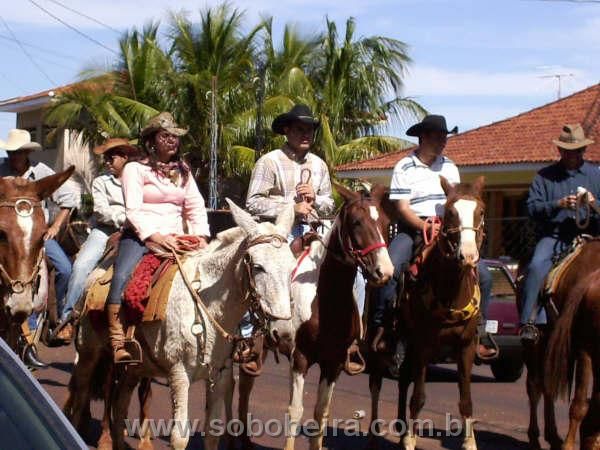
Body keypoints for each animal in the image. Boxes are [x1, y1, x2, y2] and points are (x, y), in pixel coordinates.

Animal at [66, 200, 296, 450]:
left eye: (291, 268)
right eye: (257, 266)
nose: (283, 333)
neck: (206, 303)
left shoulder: (220, 375)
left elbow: (212, 432)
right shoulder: (179, 374)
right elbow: (180, 436)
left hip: (134, 367)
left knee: (119, 406)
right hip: (89, 354)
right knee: (80, 400)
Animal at [366, 176, 486, 450]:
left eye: (481, 211)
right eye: (449, 212)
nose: (468, 255)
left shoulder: (466, 346)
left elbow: (466, 400)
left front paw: (469, 443)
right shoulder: (423, 344)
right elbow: (419, 397)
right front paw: (410, 441)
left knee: (402, 382)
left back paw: (400, 431)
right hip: (378, 344)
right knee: (376, 384)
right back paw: (374, 435)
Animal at [520, 237, 600, 450]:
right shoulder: (584, 349)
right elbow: (579, 404)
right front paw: (570, 445)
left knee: (547, 386)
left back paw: (553, 436)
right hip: (536, 344)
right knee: (535, 386)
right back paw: (535, 438)